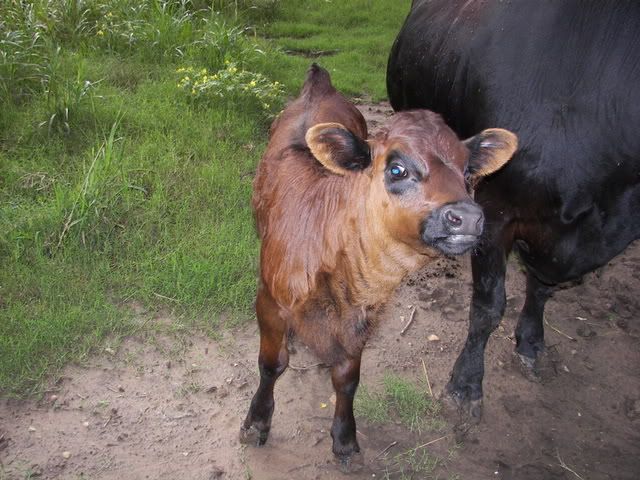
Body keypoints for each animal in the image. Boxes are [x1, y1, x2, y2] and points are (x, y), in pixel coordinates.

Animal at [239, 63, 517, 470]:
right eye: (397, 170)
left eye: (469, 173)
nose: (466, 217)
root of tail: (318, 81)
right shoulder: (269, 299)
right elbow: (271, 364)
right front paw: (257, 423)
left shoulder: (362, 320)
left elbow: (347, 378)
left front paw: (345, 440)